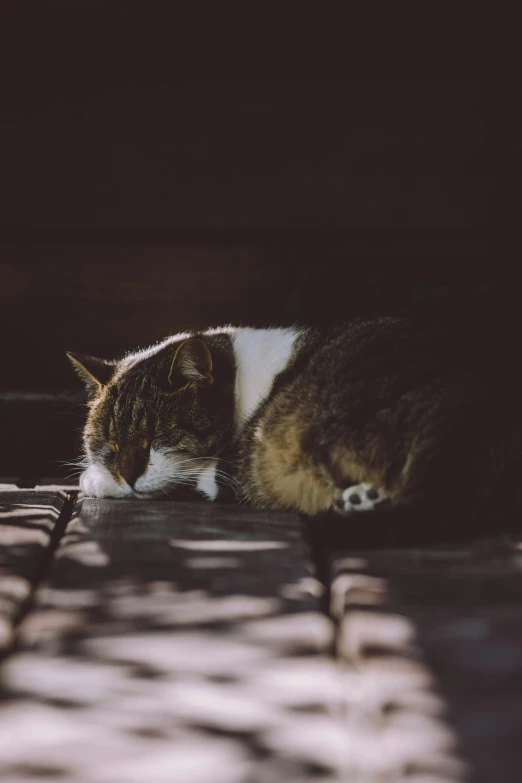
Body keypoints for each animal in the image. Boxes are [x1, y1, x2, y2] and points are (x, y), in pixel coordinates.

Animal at [66, 314, 522, 528]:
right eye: (110, 446)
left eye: (157, 437)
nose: (127, 475)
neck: (239, 379)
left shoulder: (226, 475)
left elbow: (178, 484)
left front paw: (94, 480)